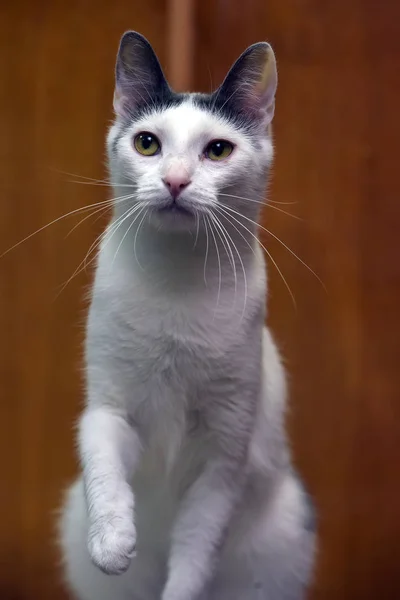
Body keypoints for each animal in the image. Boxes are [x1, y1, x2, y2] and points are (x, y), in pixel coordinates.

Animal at [58, 31, 316, 600]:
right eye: (147, 144)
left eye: (218, 149)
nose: (175, 180)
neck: (176, 285)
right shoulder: (109, 410)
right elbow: (104, 470)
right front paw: (112, 543)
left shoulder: (224, 456)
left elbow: (197, 547)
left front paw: (178, 587)